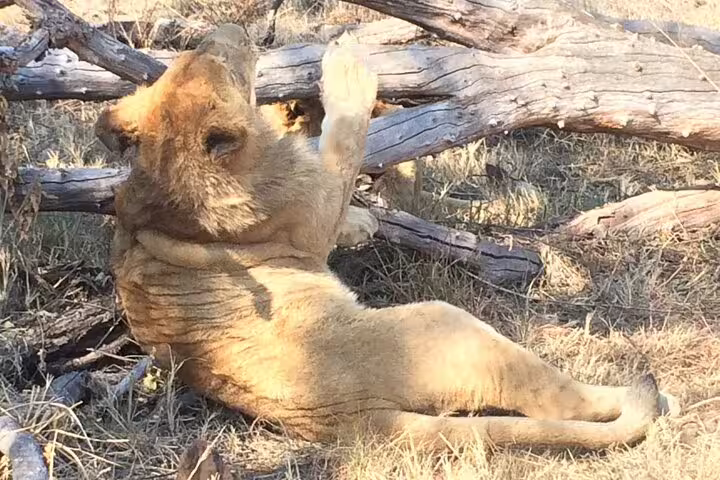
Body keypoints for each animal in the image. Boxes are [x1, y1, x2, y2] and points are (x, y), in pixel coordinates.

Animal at [97, 24, 678, 453]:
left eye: (197, 55)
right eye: (221, 64)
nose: (233, 30)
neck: (165, 177)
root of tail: (355, 424)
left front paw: (363, 221)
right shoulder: (309, 207)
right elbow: (343, 144)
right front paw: (348, 67)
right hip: (447, 322)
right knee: (557, 399)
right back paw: (649, 396)